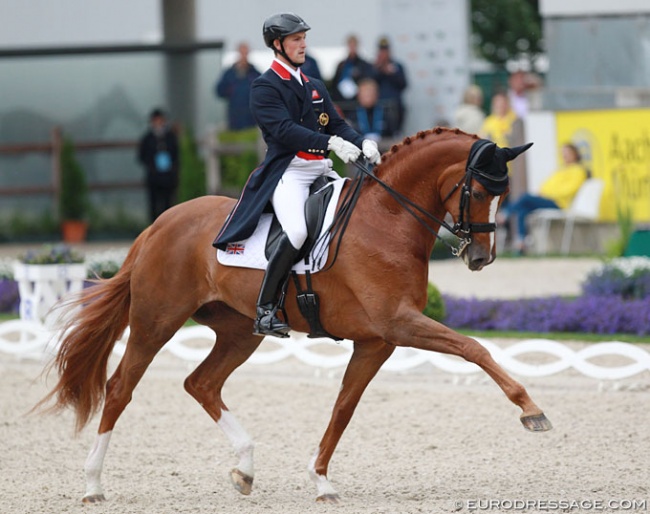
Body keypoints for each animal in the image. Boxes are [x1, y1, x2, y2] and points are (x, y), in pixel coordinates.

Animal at [40, 127, 548, 500]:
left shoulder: (377, 341)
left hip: (240, 331)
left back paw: (244, 468)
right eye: (478, 190)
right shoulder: (399, 324)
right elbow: (474, 348)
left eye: (502, 193)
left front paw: (320, 480)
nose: (481, 257)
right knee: (120, 388)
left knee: (201, 383)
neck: (388, 218)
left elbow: (344, 407)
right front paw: (531, 410)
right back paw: (93, 484)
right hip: (155, 322)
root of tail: (159, 224)